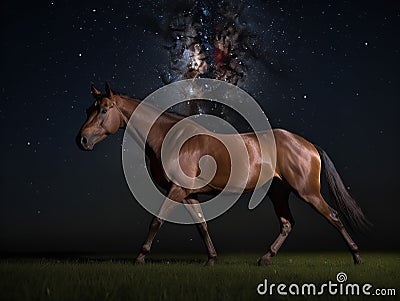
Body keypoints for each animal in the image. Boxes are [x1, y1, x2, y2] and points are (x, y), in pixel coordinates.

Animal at [77, 82, 368, 264]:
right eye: (89, 109)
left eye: (104, 110)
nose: (82, 140)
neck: (171, 138)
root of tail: (308, 145)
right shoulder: (188, 194)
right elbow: (202, 225)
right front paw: (212, 259)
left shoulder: (176, 190)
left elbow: (156, 221)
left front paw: (139, 257)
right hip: (278, 192)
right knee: (287, 224)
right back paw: (265, 258)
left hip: (307, 192)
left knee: (334, 217)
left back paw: (356, 256)